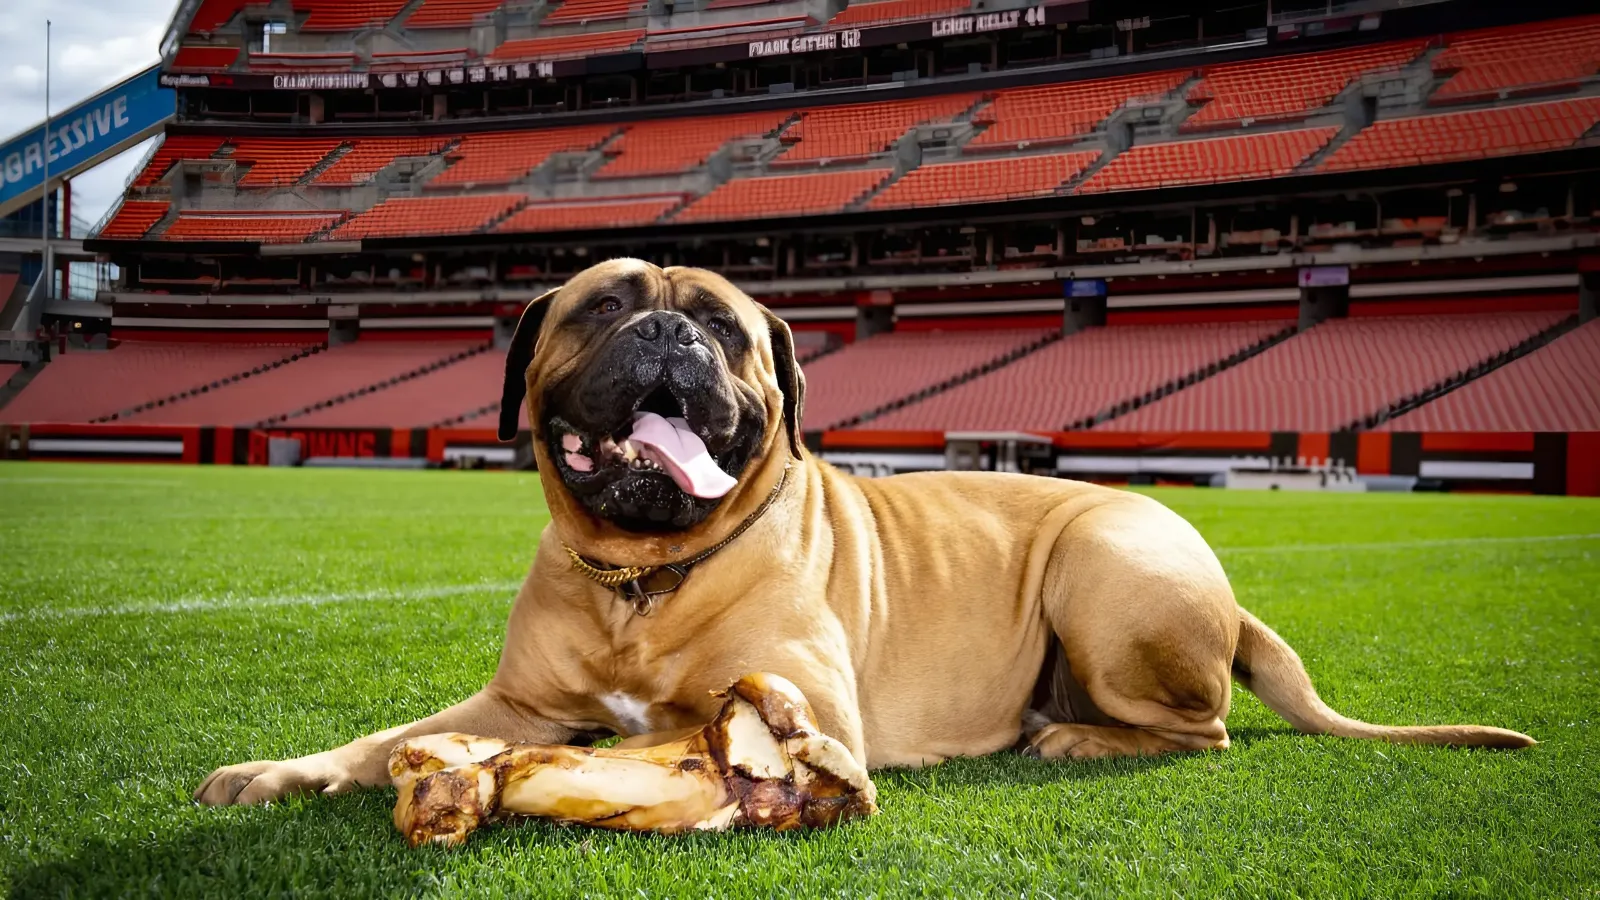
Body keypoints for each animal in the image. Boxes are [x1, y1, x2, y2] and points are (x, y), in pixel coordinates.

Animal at [193, 256, 1529, 800]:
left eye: (724, 327)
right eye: (604, 308)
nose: (668, 334)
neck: (644, 575)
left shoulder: (799, 708)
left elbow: (646, 736)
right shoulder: (511, 699)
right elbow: (390, 737)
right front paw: (286, 771)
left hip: (1100, 567)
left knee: (1201, 733)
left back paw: (1070, 739)